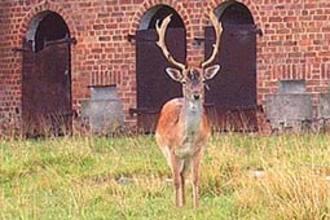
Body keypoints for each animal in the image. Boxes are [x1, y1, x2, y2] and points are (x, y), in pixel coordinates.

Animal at [154, 12, 222, 208]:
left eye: (203, 80)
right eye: (184, 81)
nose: (196, 95)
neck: (186, 138)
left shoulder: (199, 149)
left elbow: (196, 178)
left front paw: (196, 206)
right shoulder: (171, 149)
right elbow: (175, 181)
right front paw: (177, 207)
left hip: (186, 158)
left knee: (184, 175)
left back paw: (185, 203)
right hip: (165, 151)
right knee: (178, 176)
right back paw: (180, 203)